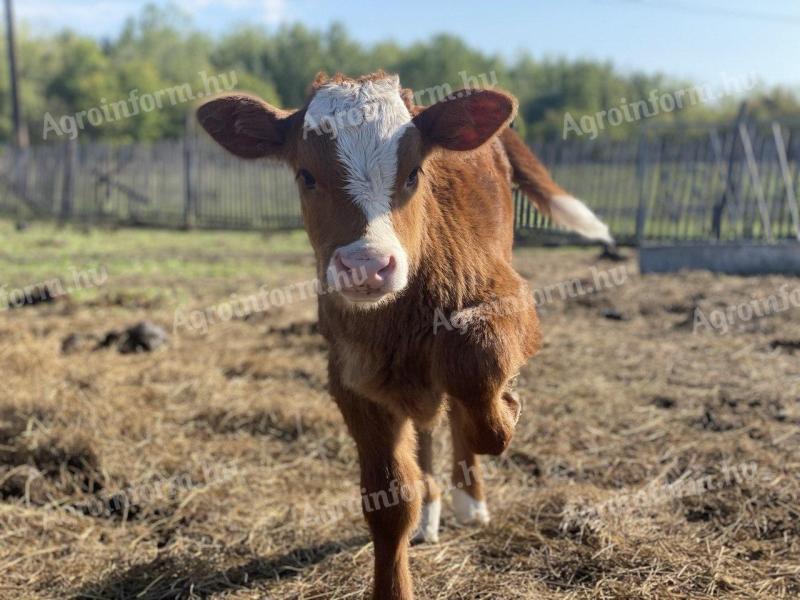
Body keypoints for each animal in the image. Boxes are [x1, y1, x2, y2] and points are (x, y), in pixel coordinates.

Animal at [197, 71, 608, 600]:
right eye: (306, 175)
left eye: (413, 173)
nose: (367, 265)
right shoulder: (352, 376)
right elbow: (389, 501)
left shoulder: (514, 302)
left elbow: (474, 360)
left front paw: (507, 409)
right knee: (429, 422)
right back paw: (431, 507)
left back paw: (469, 499)